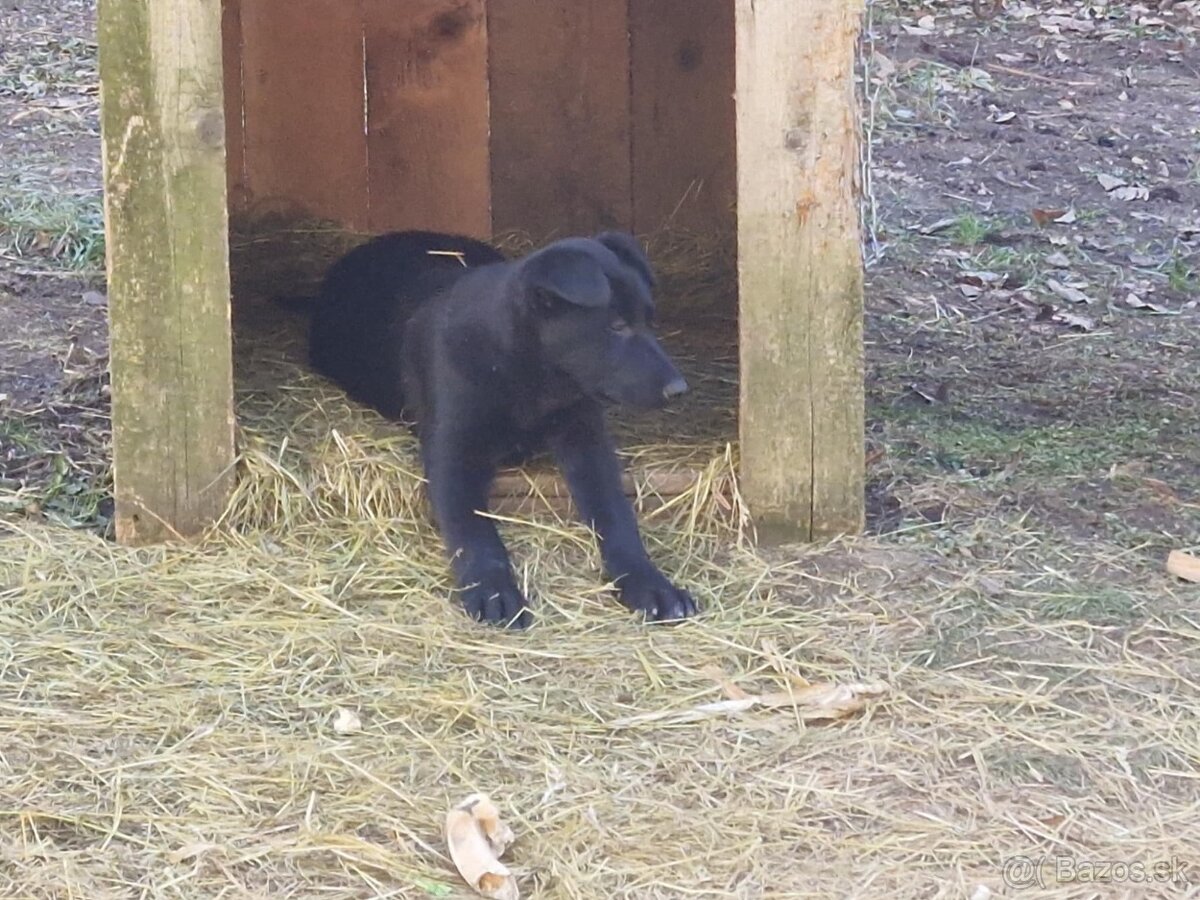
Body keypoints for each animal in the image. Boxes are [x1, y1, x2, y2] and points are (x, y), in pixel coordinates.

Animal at [307, 229, 696, 628]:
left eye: (650, 321)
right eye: (617, 326)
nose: (678, 389)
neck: (530, 375)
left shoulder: (585, 437)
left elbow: (615, 513)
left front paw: (650, 584)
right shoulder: (454, 452)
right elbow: (473, 529)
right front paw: (493, 591)